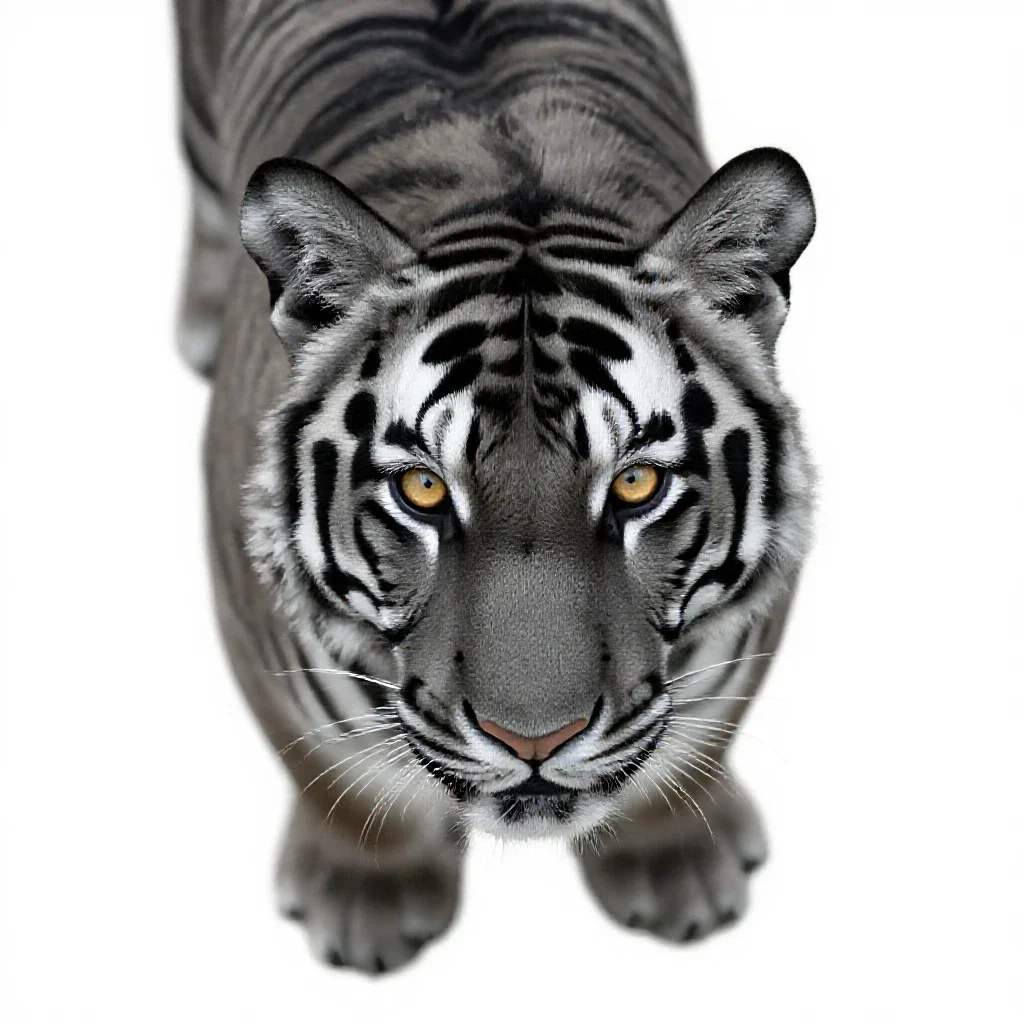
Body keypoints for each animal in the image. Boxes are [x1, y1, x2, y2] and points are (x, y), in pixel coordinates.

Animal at [176, 0, 816, 973]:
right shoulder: (251, 611)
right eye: (423, 491)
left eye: (635, 484)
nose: (534, 742)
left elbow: (696, 741)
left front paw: (678, 870)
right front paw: (368, 902)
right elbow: (331, 767)